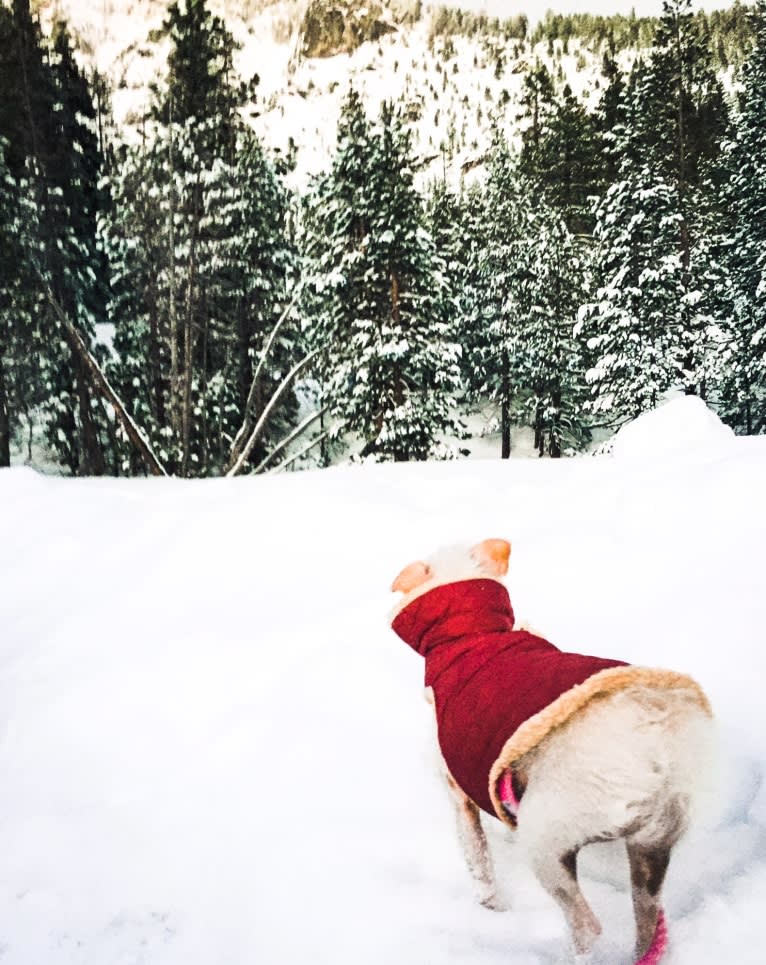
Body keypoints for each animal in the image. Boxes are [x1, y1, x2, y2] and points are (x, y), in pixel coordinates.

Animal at [390, 540, 712, 960]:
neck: (473, 633)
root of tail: (654, 744)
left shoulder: (459, 793)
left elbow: (479, 862)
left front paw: (489, 907)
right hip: (650, 847)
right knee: (647, 922)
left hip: (547, 838)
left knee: (587, 926)